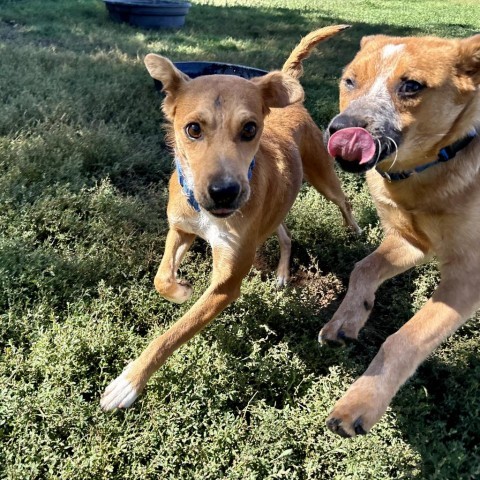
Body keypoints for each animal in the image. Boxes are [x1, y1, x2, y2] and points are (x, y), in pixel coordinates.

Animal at [100, 25, 360, 408]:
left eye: (249, 129)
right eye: (193, 129)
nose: (225, 192)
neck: (208, 215)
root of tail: (293, 104)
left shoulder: (224, 285)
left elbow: (175, 333)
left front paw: (129, 381)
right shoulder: (181, 228)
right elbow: (161, 277)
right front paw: (179, 289)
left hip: (323, 176)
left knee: (344, 201)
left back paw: (354, 230)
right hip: (277, 206)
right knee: (285, 234)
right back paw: (282, 273)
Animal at [318, 31, 480, 438]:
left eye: (411, 86)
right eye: (349, 81)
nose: (340, 129)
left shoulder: (468, 276)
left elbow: (404, 337)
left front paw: (360, 402)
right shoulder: (410, 242)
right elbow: (362, 268)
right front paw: (345, 320)